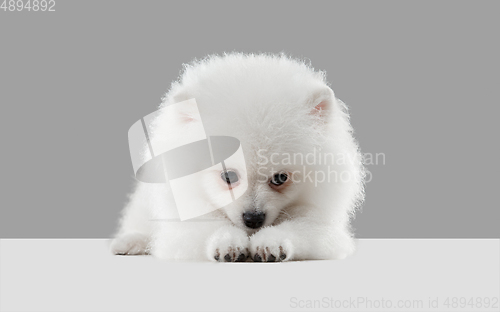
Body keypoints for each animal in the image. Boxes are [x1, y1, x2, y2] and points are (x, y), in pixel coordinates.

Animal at [111, 53, 366, 260]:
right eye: (229, 176)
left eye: (280, 178)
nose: (253, 219)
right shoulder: (186, 219)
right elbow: (206, 226)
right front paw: (228, 243)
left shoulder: (321, 221)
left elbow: (303, 228)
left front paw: (271, 243)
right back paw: (130, 241)